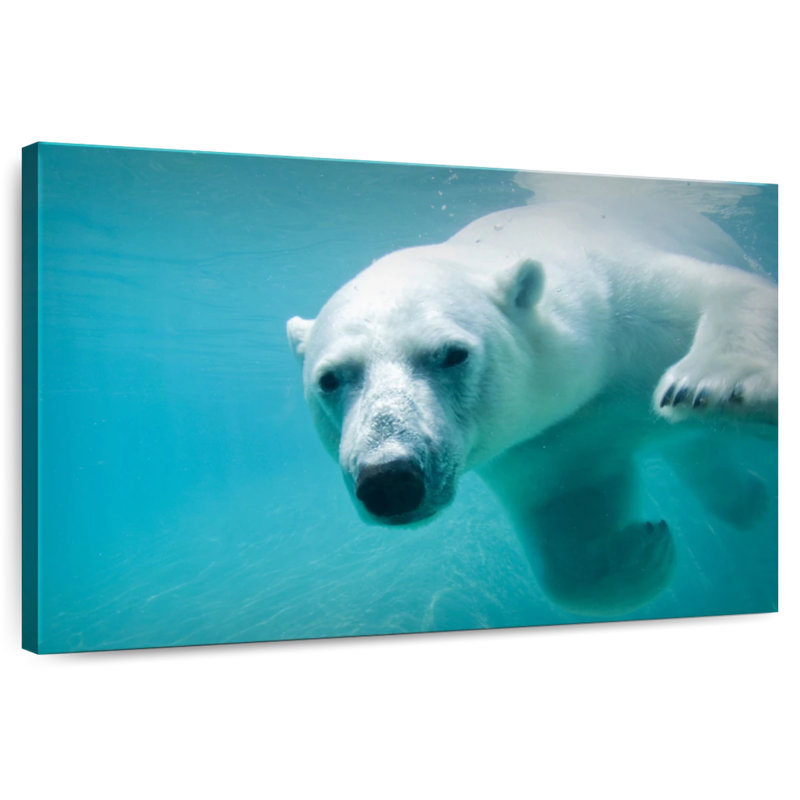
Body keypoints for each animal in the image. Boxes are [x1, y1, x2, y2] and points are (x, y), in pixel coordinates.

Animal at [286, 195, 777, 616]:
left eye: (452, 354)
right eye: (329, 379)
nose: (389, 479)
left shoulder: (628, 304)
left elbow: (725, 291)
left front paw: (713, 383)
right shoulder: (549, 443)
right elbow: (568, 534)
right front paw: (645, 549)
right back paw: (749, 500)